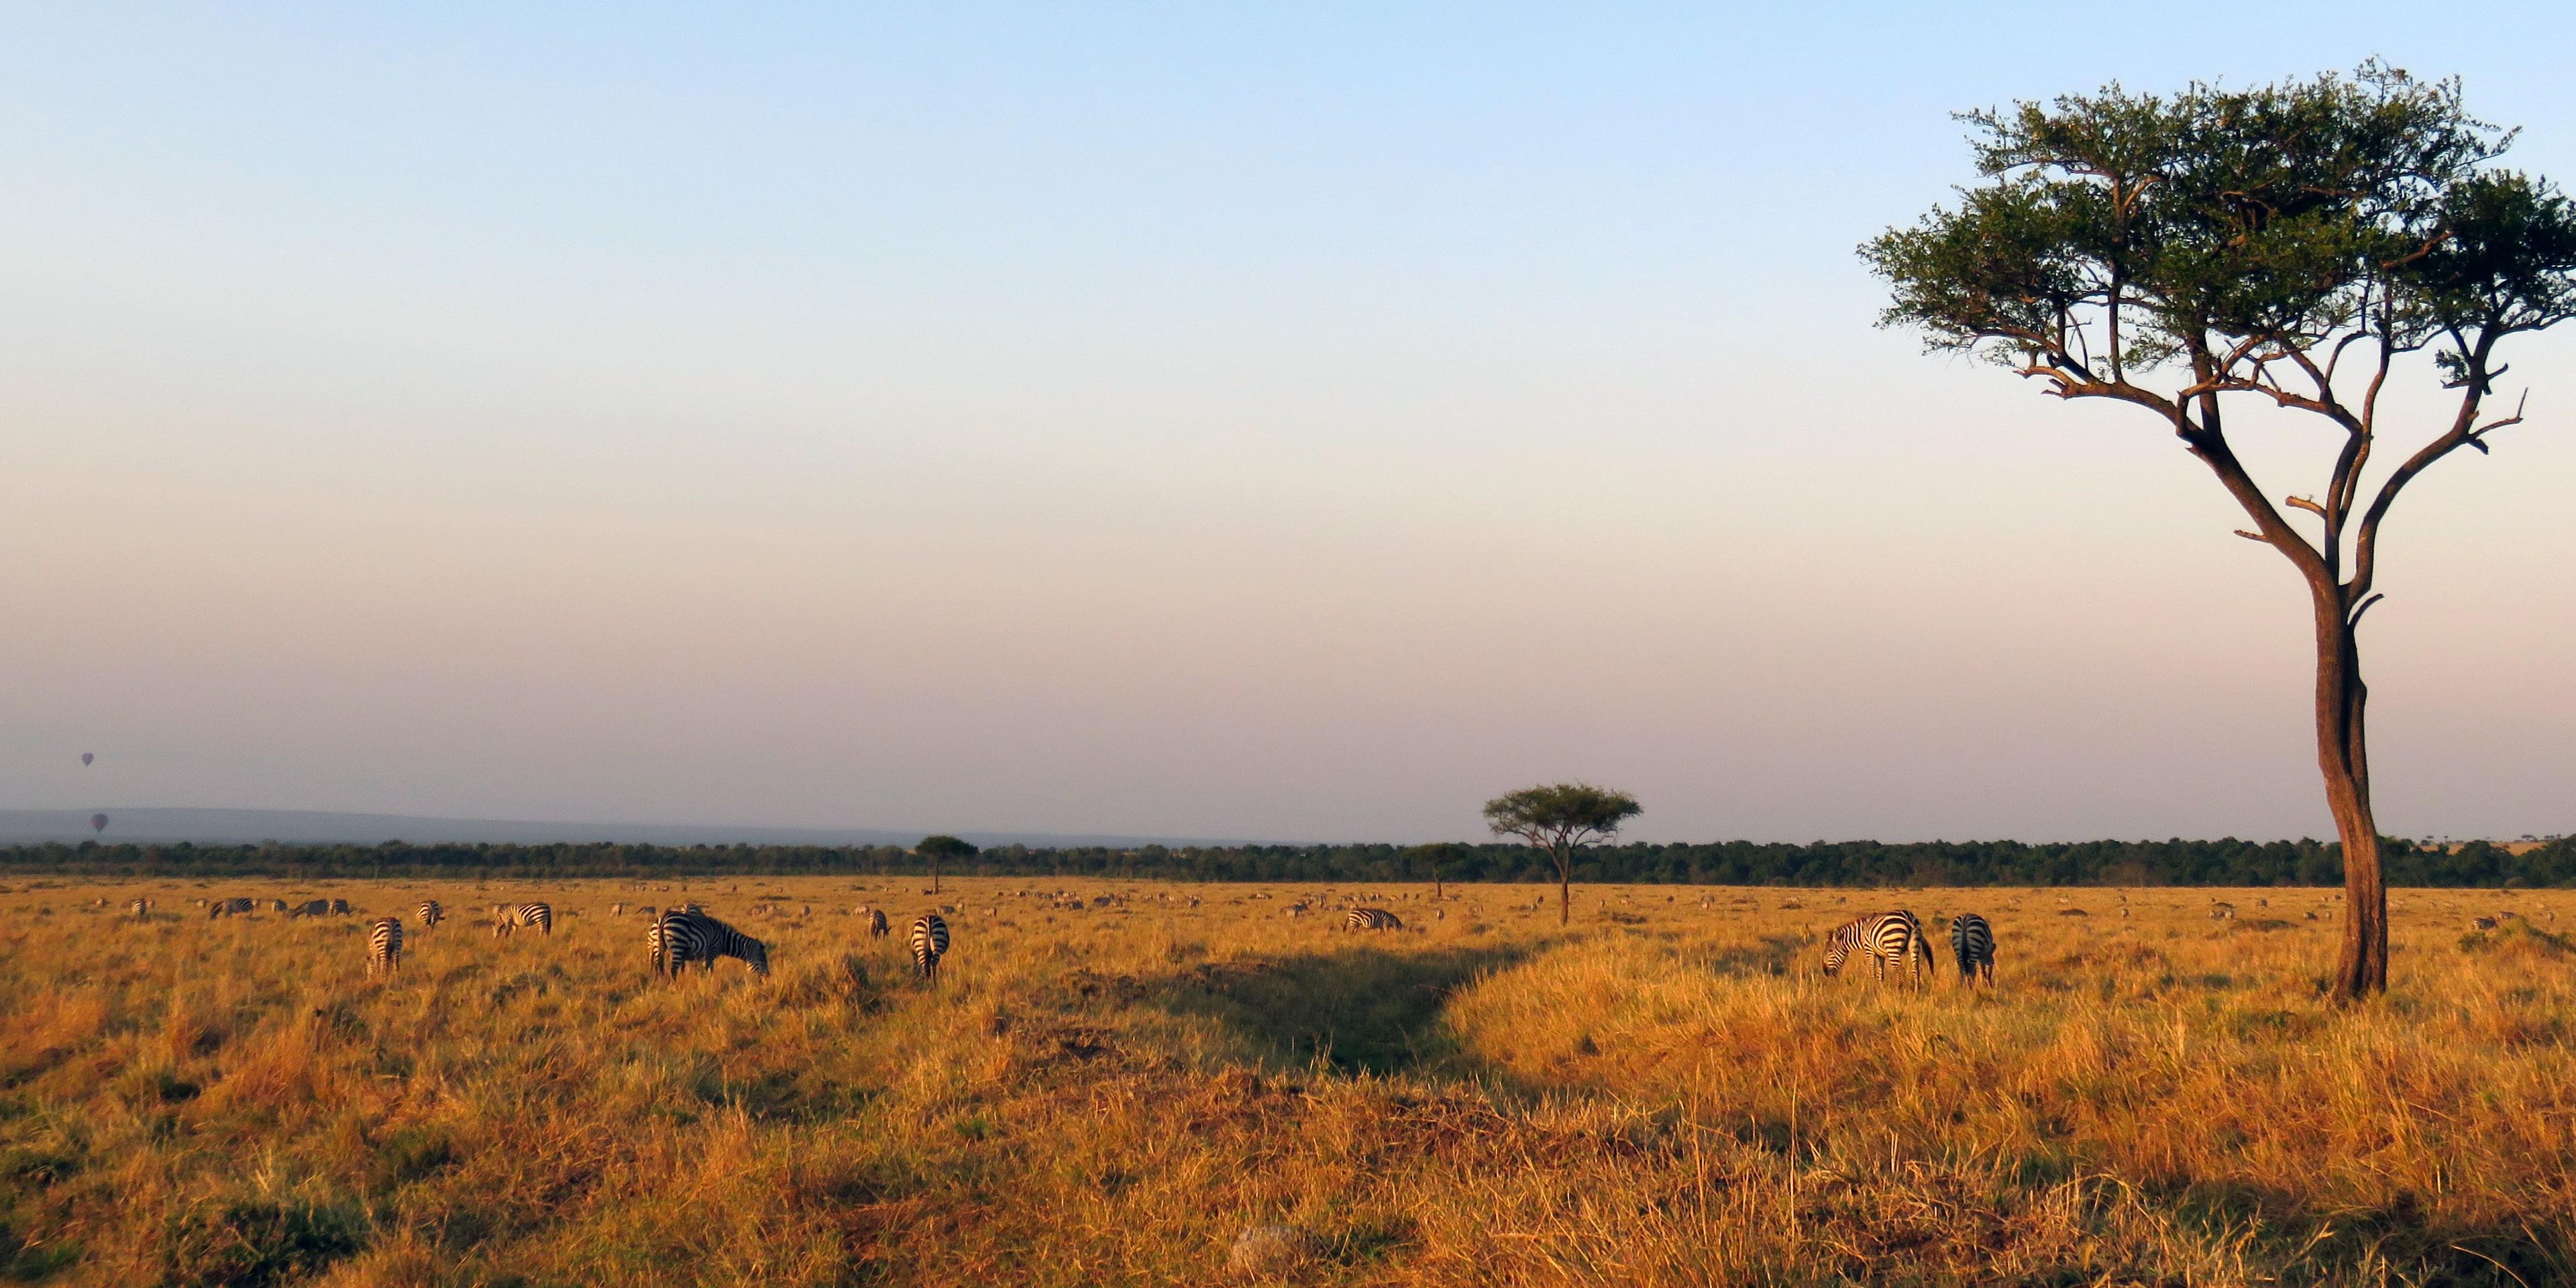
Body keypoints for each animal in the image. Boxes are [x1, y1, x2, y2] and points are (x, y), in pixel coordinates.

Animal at [648, 909, 768, 978]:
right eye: (762, 960)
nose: (768, 978)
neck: (723, 939)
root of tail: (663, 918)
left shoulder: (711, 955)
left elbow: (711, 970)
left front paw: (710, 982)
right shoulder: (711, 950)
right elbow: (706, 969)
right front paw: (704, 983)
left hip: (659, 946)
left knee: (659, 965)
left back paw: (662, 981)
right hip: (678, 945)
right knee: (673, 969)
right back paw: (675, 986)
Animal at [1822, 911, 1935, 984]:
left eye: (1830, 951)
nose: (1826, 973)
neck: (1861, 933)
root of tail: (1908, 917)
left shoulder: (1869, 949)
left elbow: (1872, 971)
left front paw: (1872, 989)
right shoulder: (1881, 954)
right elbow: (1881, 973)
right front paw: (1880, 989)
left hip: (1892, 946)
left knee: (1898, 970)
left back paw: (1898, 990)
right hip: (1914, 945)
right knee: (1916, 969)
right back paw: (1916, 991)